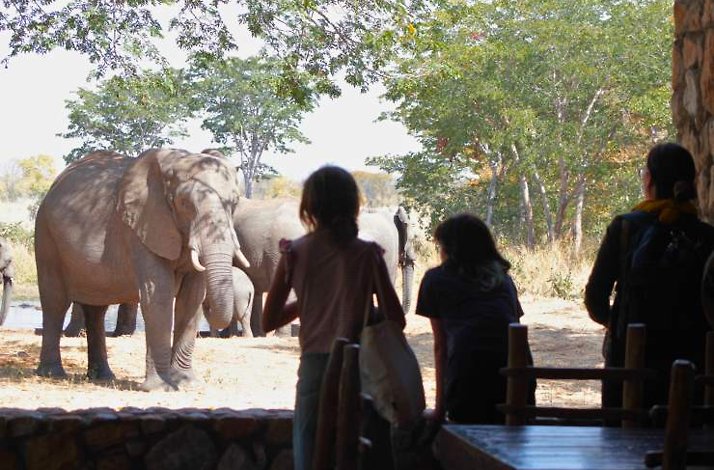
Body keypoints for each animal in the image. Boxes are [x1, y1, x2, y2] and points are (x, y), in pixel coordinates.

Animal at [34, 149, 249, 391]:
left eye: (234, 203)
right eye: (184, 203)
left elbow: (192, 298)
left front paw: (187, 384)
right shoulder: (143, 228)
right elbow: (159, 294)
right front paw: (161, 388)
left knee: (96, 308)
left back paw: (103, 377)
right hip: (45, 237)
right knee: (55, 301)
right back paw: (52, 374)